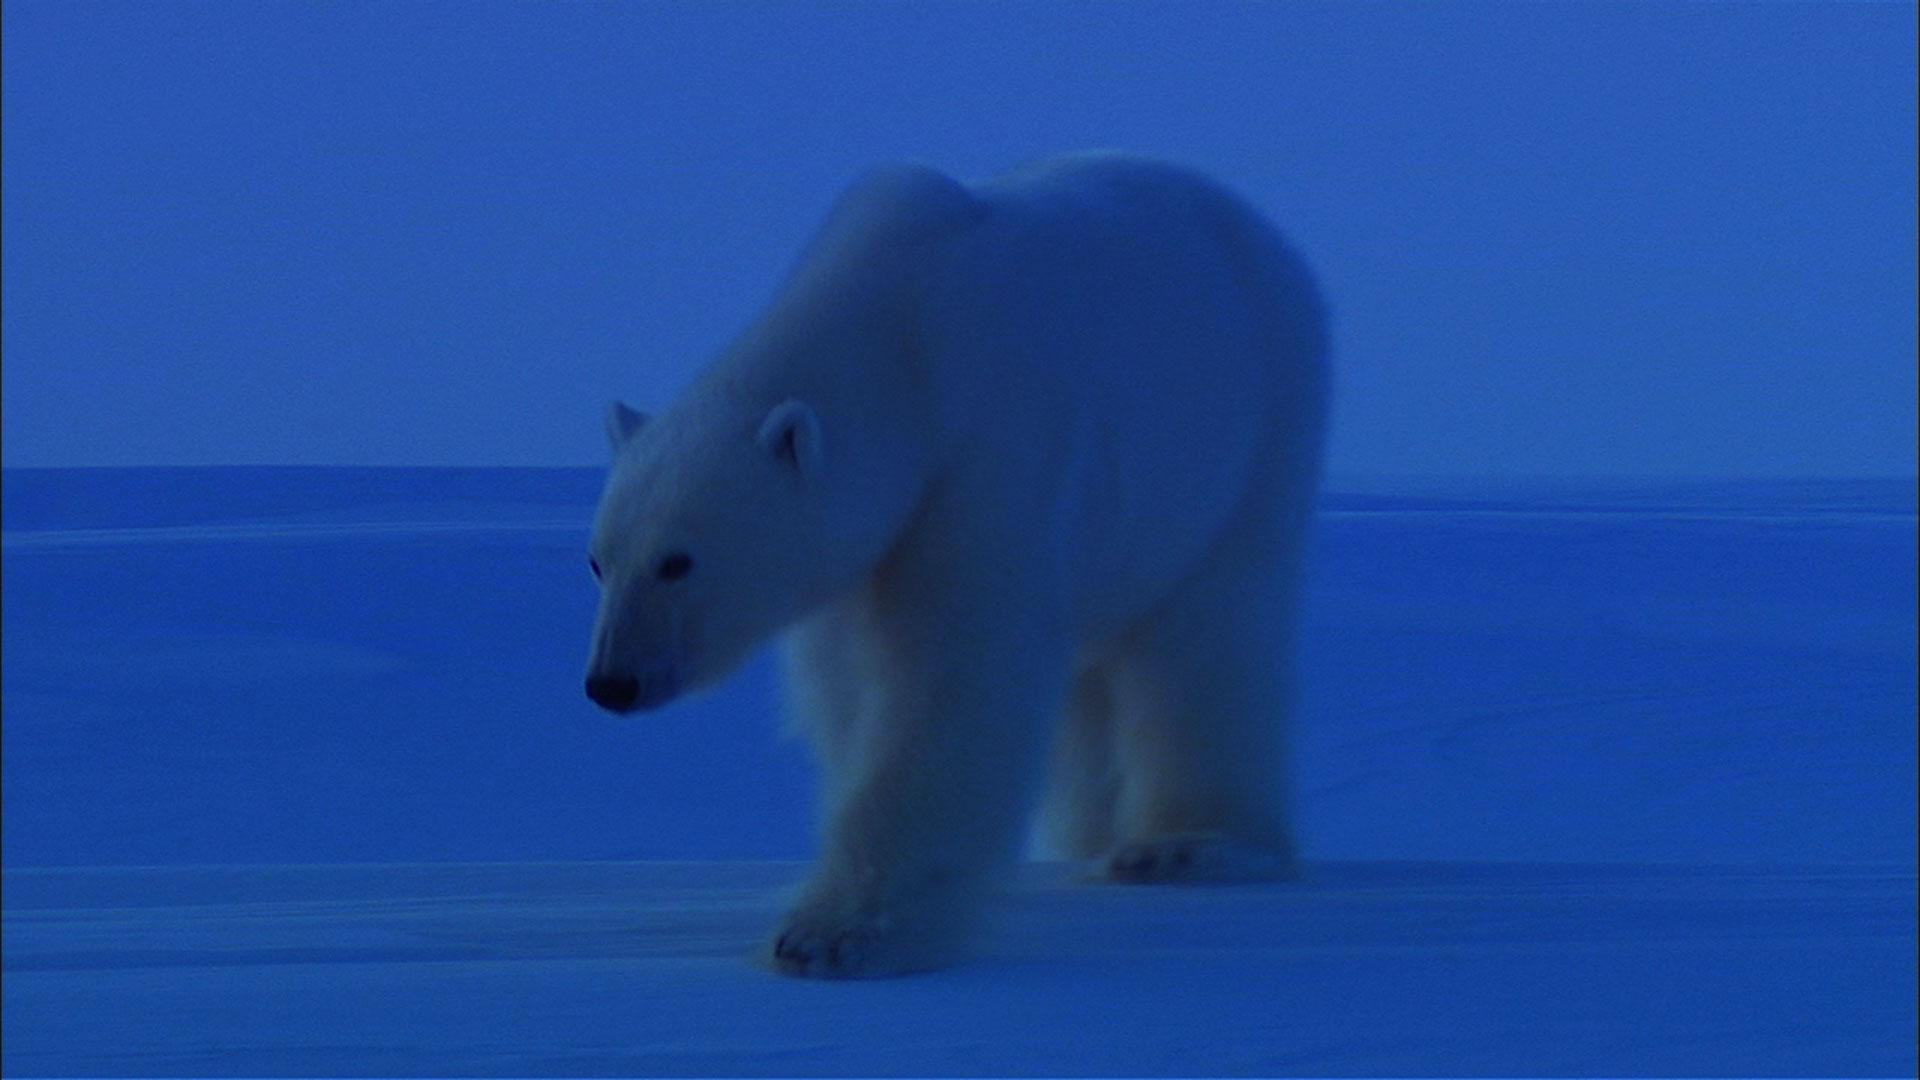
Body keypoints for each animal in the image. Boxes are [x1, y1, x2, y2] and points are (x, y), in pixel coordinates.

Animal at [584, 152, 1329, 978]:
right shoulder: (870, 539)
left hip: (1248, 442)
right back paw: (1086, 838)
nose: (612, 682)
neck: (897, 332)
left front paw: (834, 935)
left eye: (677, 562)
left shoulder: (994, 451)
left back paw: (1188, 845)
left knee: (1209, 641)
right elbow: (851, 687)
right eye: (598, 562)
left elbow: (953, 671)